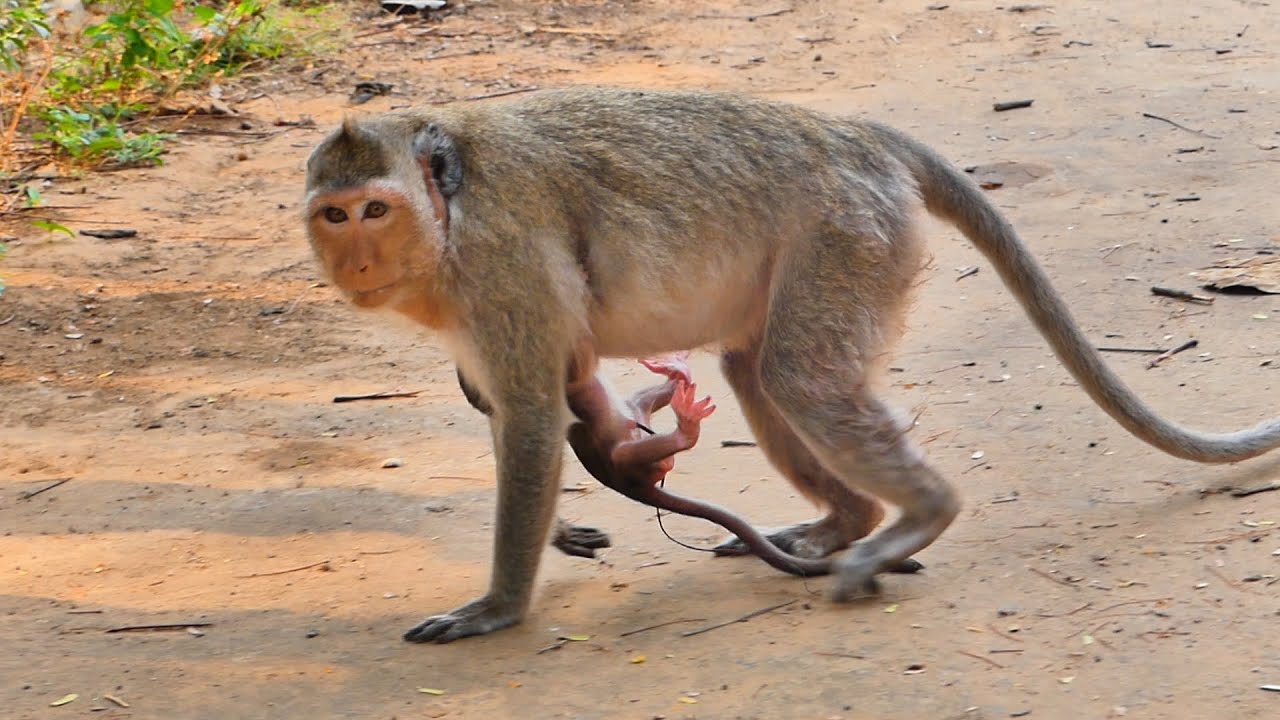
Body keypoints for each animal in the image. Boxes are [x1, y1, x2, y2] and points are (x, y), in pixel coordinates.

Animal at [303, 87, 1280, 643]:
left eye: (376, 210)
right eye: (335, 215)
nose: (357, 262)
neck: (451, 206)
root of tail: (858, 135)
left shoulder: (501, 265)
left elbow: (537, 419)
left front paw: (502, 605)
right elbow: (523, 413)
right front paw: (561, 530)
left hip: (849, 231)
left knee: (799, 378)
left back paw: (919, 515)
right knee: (759, 371)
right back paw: (848, 521)